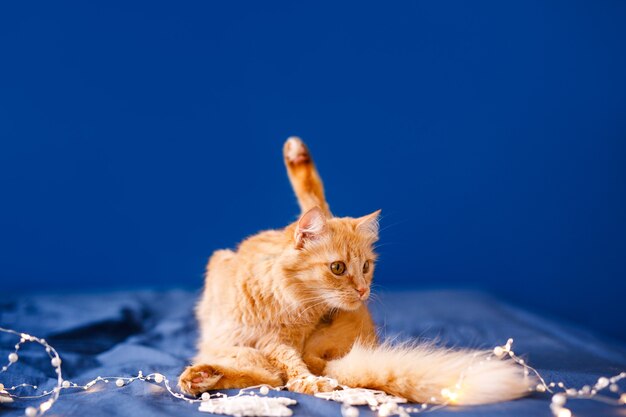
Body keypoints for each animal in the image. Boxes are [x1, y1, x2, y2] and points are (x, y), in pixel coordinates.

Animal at [177, 136, 532, 404]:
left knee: (288, 374)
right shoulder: (260, 337)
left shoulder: (281, 342)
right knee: (261, 373)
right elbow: (279, 368)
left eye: (366, 267)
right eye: (337, 268)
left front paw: (312, 384)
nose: (363, 290)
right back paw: (201, 376)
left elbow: (291, 371)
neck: (284, 301)